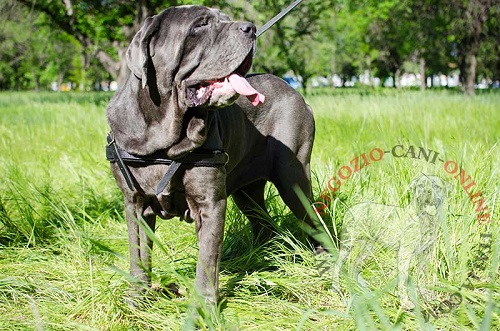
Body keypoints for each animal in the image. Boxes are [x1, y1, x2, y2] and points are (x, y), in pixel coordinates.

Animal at [106, 5, 316, 306]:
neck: (163, 138)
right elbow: (139, 253)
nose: (250, 28)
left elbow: (207, 259)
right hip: (247, 192)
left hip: (293, 179)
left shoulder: (210, 203)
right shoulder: (133, 202)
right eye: (199, 26)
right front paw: (137, 297)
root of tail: (297, 94)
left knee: (317, 222)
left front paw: (204, 307)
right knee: (264, 223)